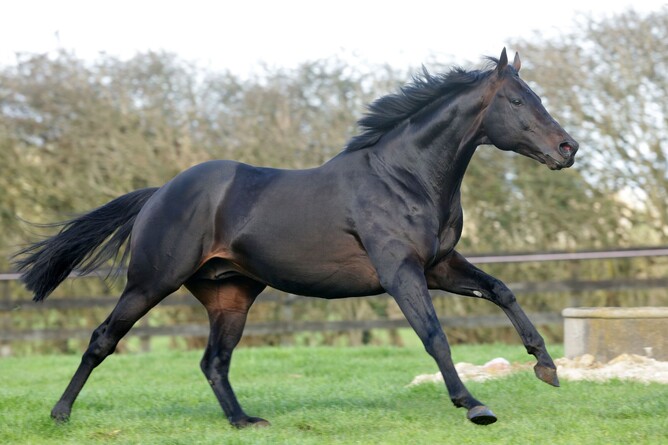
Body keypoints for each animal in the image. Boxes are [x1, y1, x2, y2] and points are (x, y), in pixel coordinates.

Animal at [14, 48, 578, 427]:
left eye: (537, 97)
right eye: (516, 100)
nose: (568, 148)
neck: (404, 177)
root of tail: (160, 194)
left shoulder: (439, 265)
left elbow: (502, 290)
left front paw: (546, 367)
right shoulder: (401, 272)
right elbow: (434, 335)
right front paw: (475, 405)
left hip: (231, 295)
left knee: (213, 361)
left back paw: (245, 422)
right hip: (152, 282)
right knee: (103, 339)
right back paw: (60, 413)